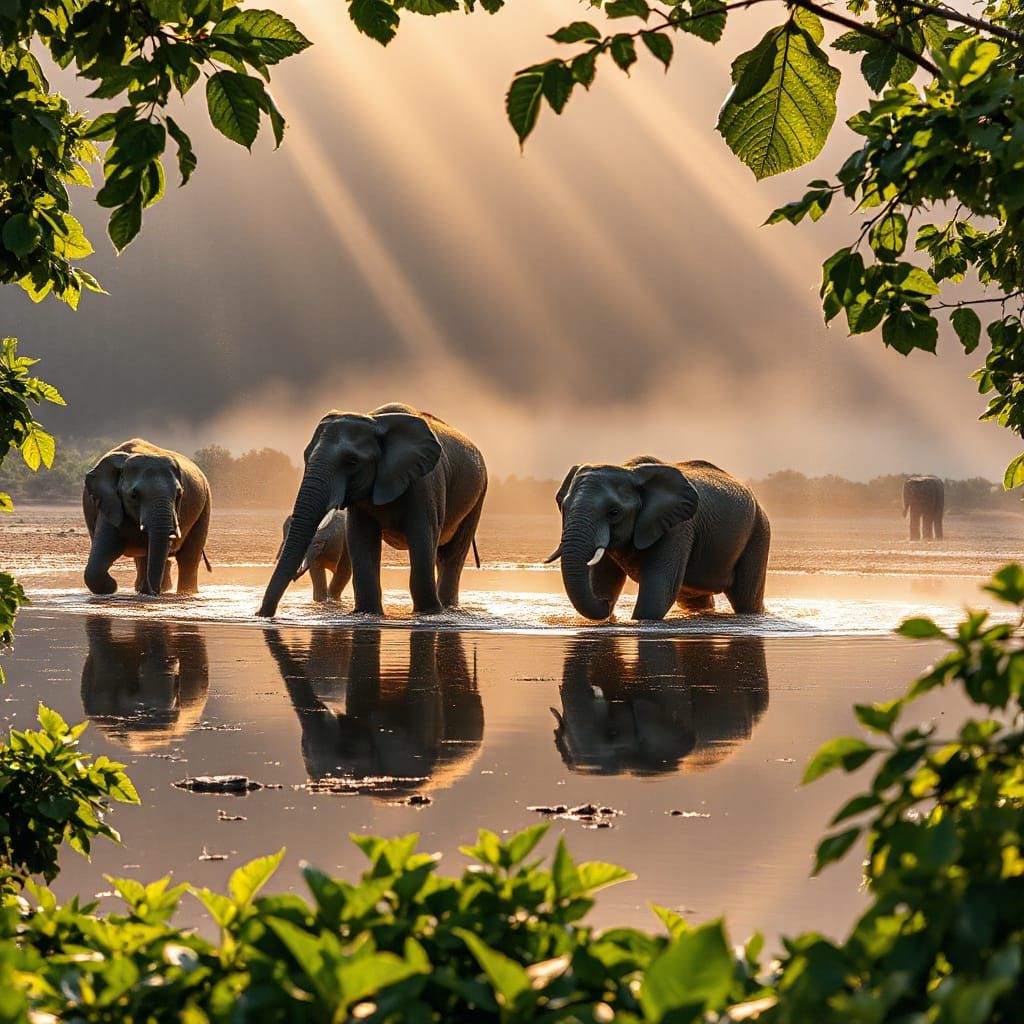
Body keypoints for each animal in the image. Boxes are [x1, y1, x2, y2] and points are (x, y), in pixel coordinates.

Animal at [82, 439, 212, 596]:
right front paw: (113, 587)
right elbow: (98, 562)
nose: (155, 593)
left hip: (205, 504)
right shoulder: (110, 503)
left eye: (179, 494)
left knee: (188, 558)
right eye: (134, 495)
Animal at [258, 403, 487, 618]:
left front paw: (429, 613)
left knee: (452, 555)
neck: (376, 421)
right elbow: (361, 539)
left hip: (479, 495)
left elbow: (423, 536)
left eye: (352, 462)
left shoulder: (426, 484)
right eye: (307, 458)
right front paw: (367, 613)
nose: (261, 614)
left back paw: (446, 608)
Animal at [547, 456, 771, 621]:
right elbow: (604, 580)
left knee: (746, 598)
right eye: (564, 508)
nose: (607, 604)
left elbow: (658, 589)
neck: (629, 470)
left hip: (759, 533)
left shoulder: (678, 529)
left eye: (614, 512)